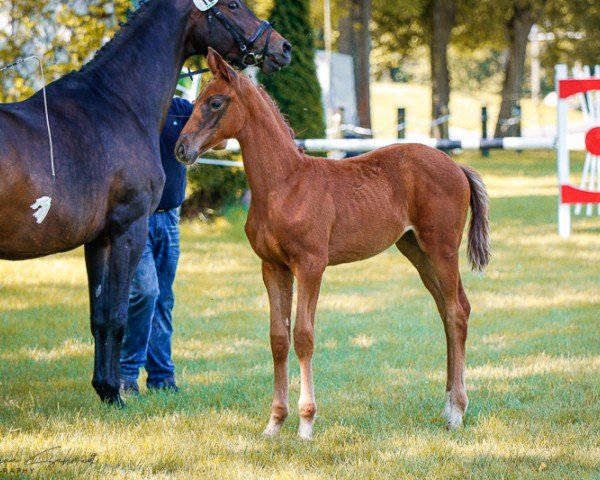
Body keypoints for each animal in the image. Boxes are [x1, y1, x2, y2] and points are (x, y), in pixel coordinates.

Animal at [176, 49, 490, 438]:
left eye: (215, 102)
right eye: (196, 101)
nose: (182, 149)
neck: (285, 184)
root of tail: (457, 166)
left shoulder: (311, 265)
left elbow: (304, 336)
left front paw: (306, 424)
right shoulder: (272, 267)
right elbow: (278, 338)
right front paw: (274, 424)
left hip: (441, 248)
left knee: (457, 312)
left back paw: (457, 412)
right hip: (416, 251)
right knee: (449, 311)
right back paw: (448, 407)